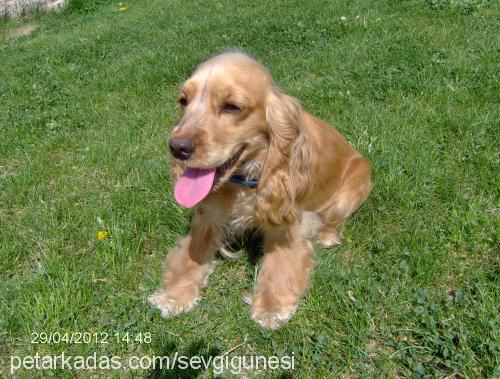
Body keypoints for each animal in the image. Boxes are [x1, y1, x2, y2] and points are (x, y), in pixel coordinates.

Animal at [148, 52, 372, 330]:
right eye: (183, 101)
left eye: (231, 106)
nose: (177, 147)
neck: (244, 181)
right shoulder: (208, 216)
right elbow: (191, 255)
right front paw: (174, 295)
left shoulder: (286, 223)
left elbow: (279, 266)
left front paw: (270, 308)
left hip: (356, 182)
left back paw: (327, 235)